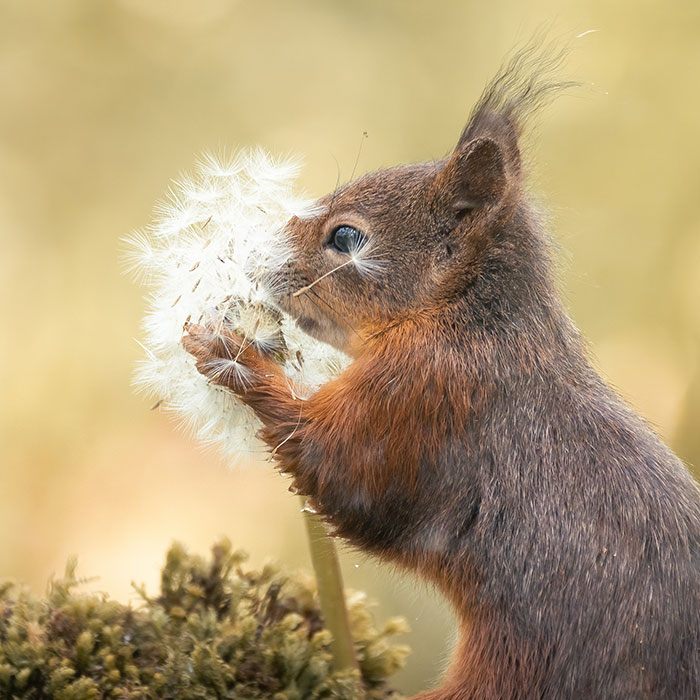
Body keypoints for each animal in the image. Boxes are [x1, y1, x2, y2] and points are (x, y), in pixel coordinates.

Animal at [182, 49, 700, 700]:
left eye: (346, 237)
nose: (257, 257)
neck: (467, 322)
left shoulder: (420, 399)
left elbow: (336, 466)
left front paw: (230, 354)